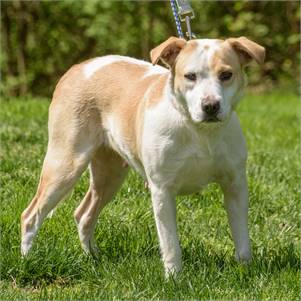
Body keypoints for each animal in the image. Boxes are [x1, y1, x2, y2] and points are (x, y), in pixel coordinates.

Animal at [21, 36, 264, 276]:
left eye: (226, 75)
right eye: (190, 76)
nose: (211, 106)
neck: (200, 132)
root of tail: (78, 68)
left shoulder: (235, 186)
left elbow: (242, 238)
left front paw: (245, 271)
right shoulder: (162, 190)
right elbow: (170, 243)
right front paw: (174, 278)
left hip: (110, 174)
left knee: (83, 214)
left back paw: (92, 257)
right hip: (65, 164)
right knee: (30, 215)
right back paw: (27, 260)